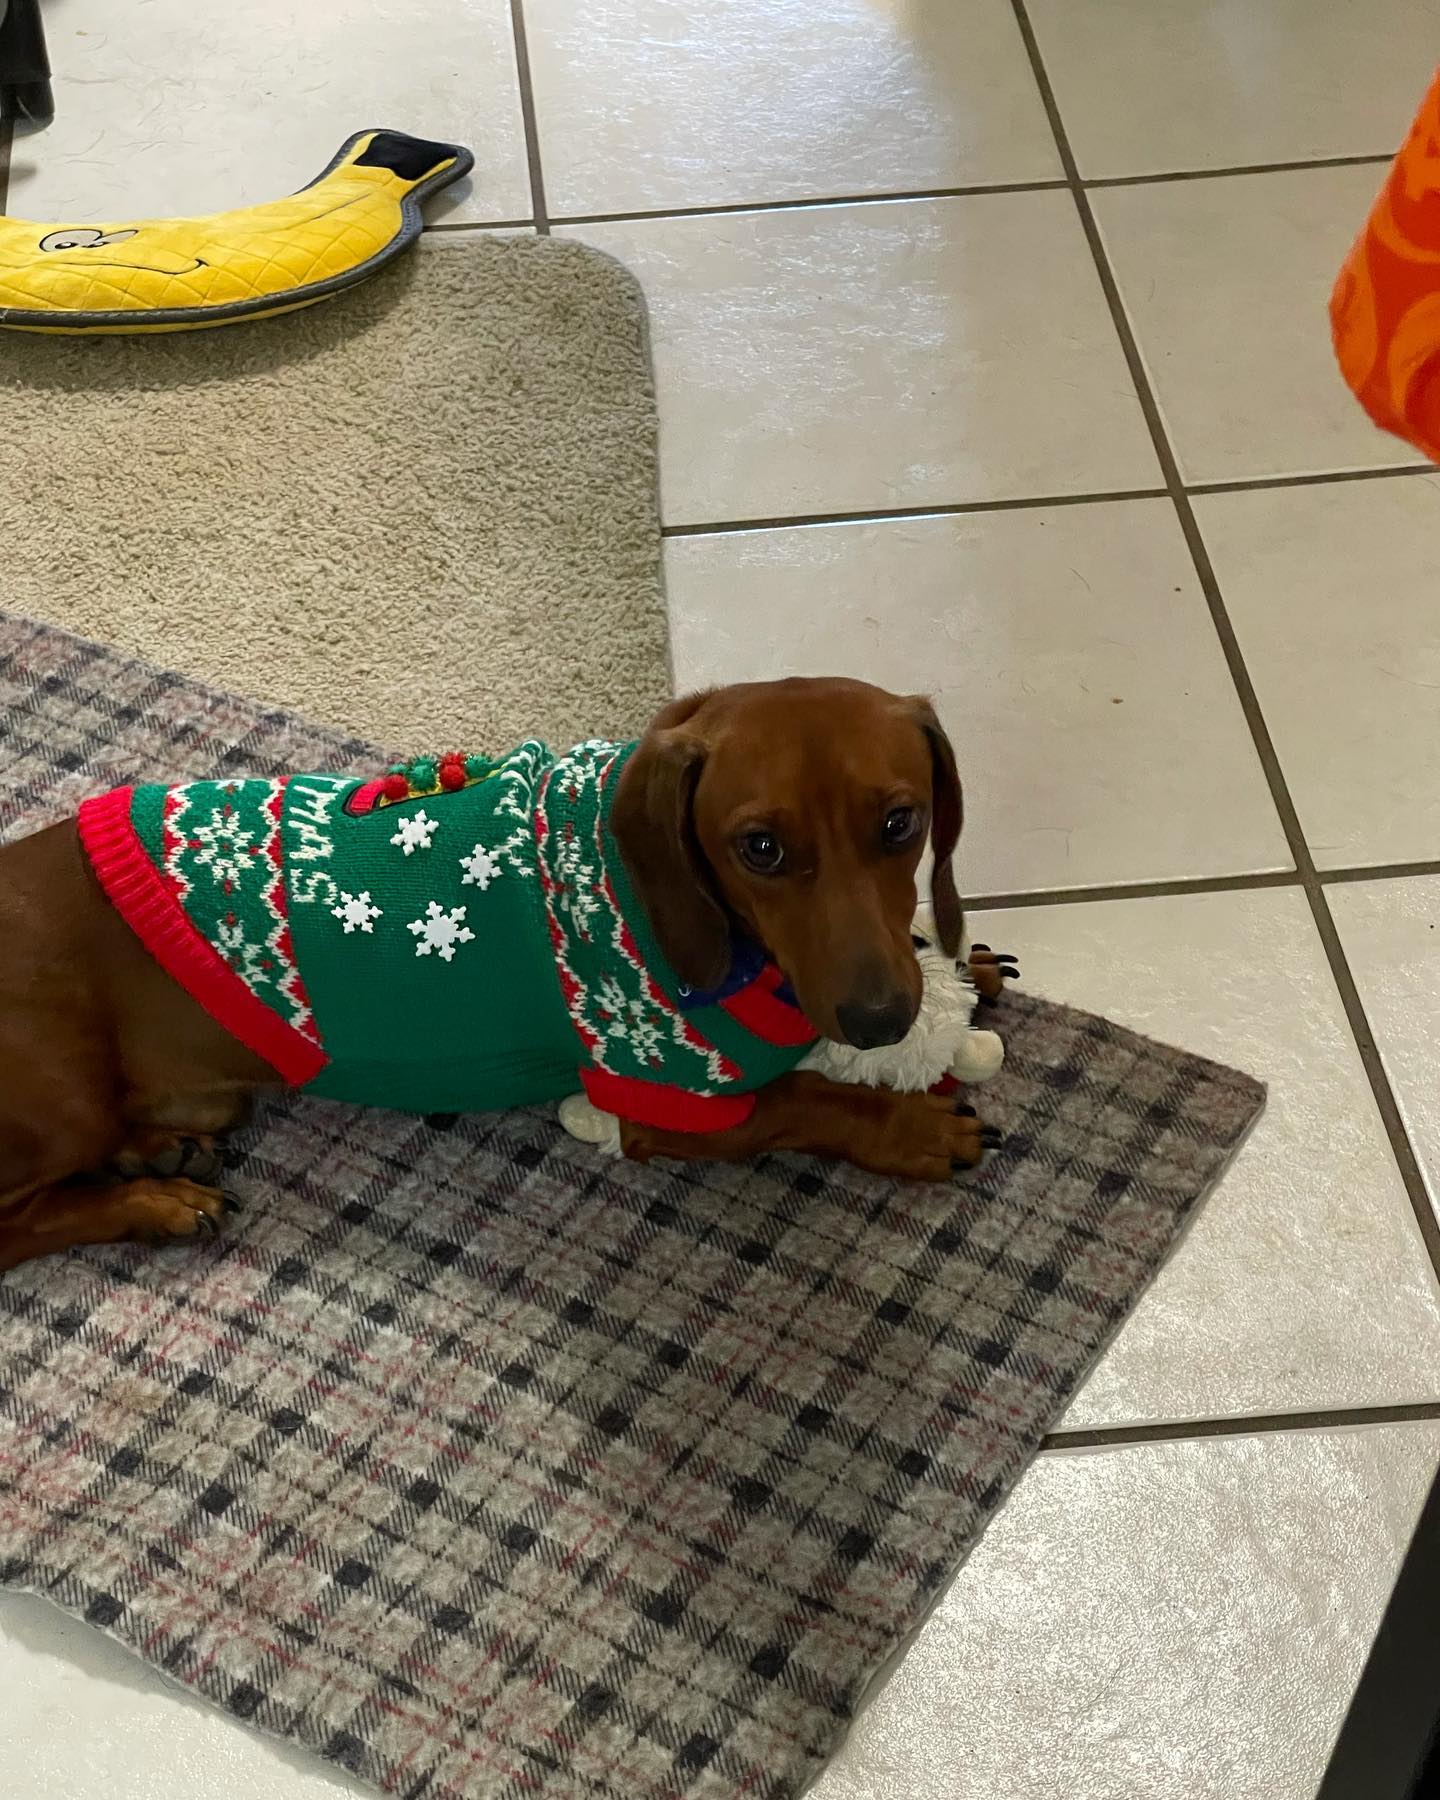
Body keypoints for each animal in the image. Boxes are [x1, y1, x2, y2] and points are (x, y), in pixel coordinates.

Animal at [0, 676, 1014, 1273]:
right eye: (758, 848)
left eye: (902, 823)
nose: (882, 1019)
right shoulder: (661, 1105)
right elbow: (802, 1100)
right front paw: (907, 1125)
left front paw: (967, 965)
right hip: (62, 1101)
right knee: (15, 1222)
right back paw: (152, 1203)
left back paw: (152, 1153)